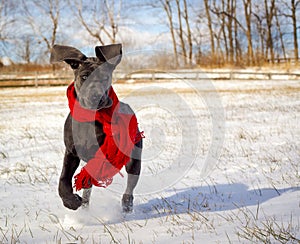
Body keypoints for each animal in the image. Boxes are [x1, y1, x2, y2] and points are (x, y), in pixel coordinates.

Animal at [50, 43, 142, 212]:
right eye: (84, 77)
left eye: (105, 78)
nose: (96, 96)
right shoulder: (71, 152)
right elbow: (64, 179)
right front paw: (71, 201)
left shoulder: (100, 155)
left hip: (134, 158)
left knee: (130, 184)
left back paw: (127, 204)